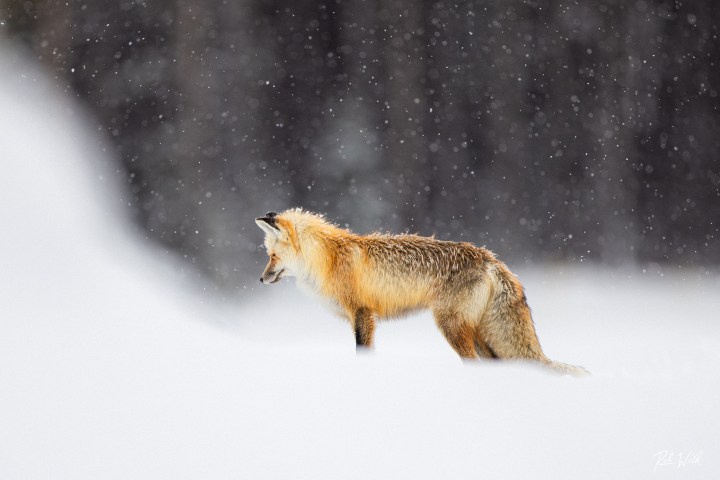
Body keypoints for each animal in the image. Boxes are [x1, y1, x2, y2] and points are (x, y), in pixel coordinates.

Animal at [256, 208, 588, 376]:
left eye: (271, 256)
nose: (260, 279)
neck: (329, 259)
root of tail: (489, 257)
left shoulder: (363, 314)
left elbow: (363, 351)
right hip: (477, 334)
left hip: (451, 326)